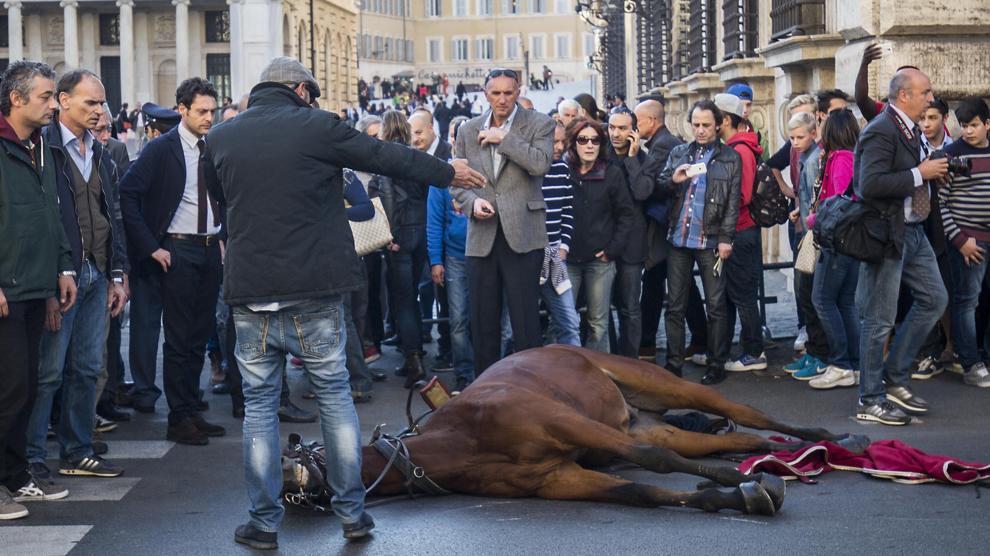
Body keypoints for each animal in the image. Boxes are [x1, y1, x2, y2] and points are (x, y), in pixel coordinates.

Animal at [290, 348, 872, 516]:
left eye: (301, 456)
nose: (293, 490)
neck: (462, 436)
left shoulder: (567, 424)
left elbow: (653, 463)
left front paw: (732, 482)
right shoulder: (555, 479)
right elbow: (643, 490)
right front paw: (736, 492)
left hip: (659, 385)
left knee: (747, 415)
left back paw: (831, 437)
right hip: (648, 420)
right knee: (738, 439)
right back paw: (800, 453)